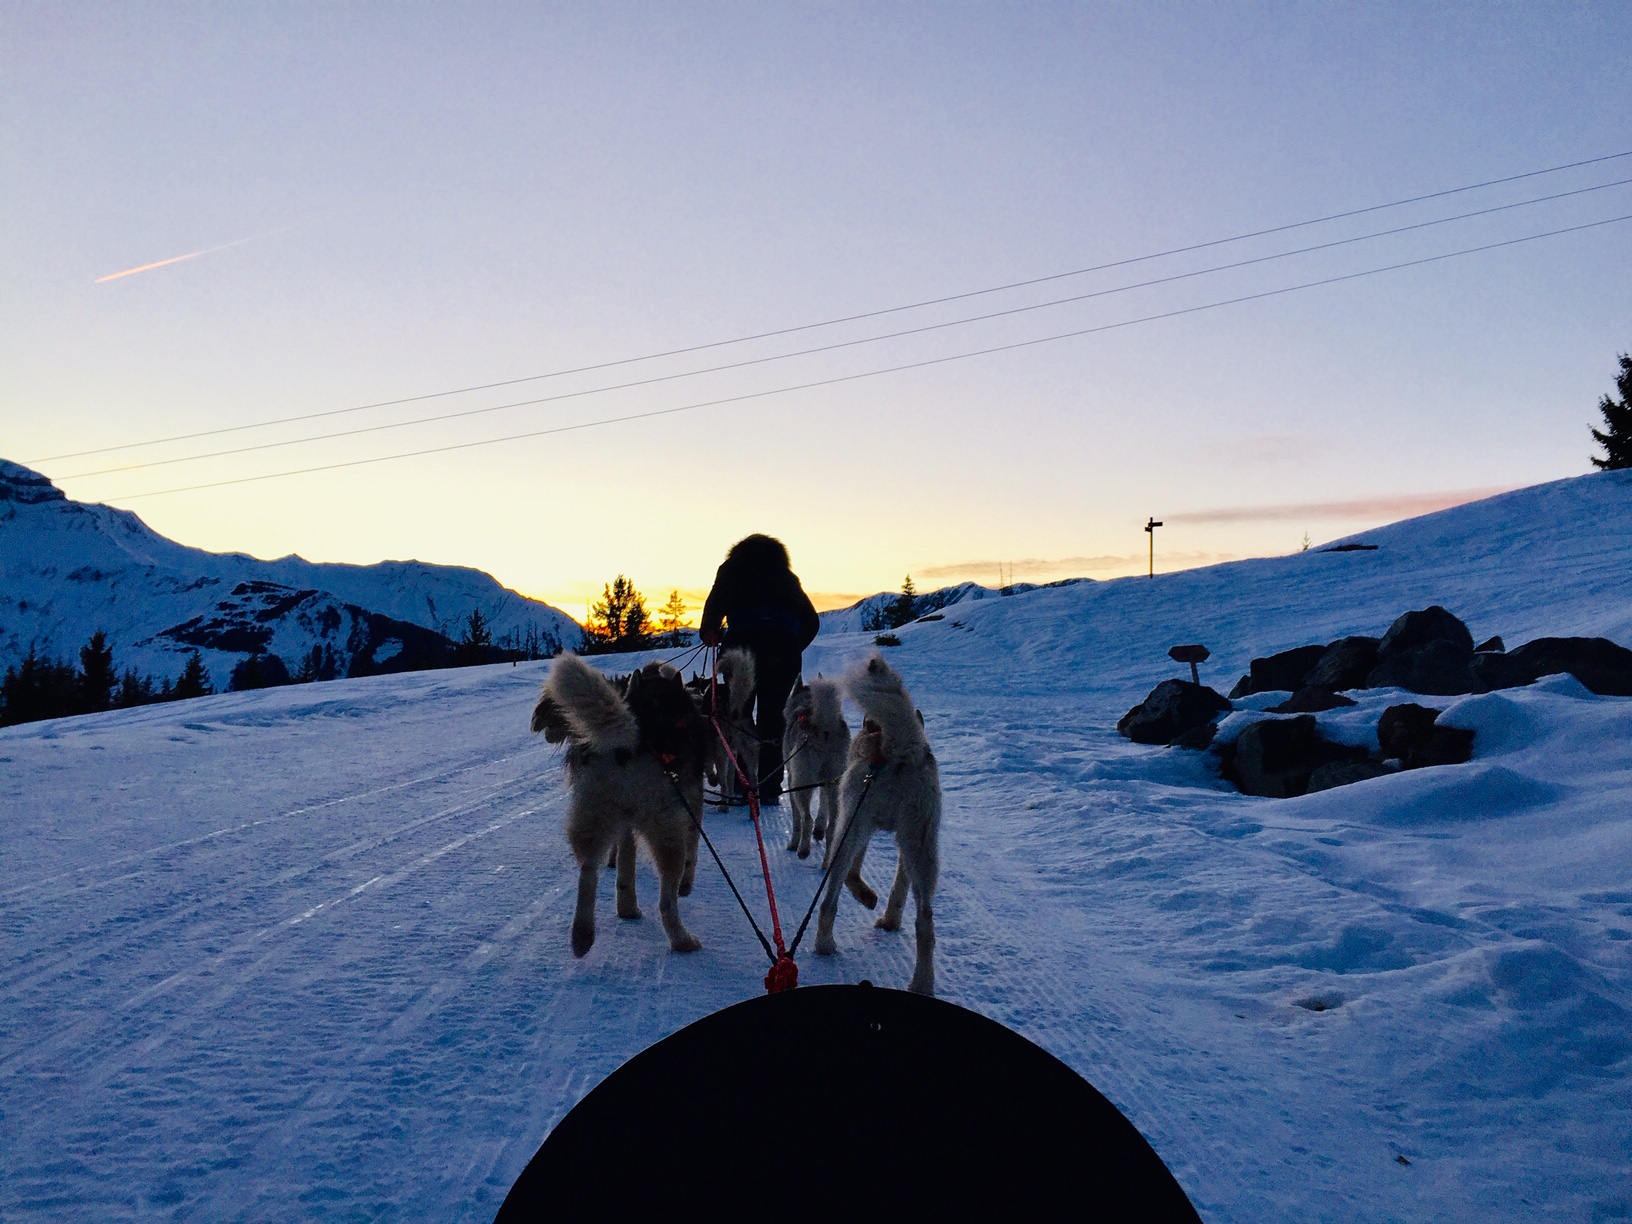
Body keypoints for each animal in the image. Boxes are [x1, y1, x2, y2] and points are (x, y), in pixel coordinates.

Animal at [535, 662, 708, 959]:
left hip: (593, 813)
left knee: (588, 870)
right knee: (666, 900)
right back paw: (682, 939)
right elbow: (692, 855)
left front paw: (627, 906)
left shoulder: (626, 824)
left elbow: (625, 865)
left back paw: (582, 935)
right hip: (666, 829)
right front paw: (686, 886)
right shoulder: (692, 806)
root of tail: (633, 735)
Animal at [780, 682, 848, 861]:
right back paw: (826, 862)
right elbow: (823, 810)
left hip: (801, 785)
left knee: (807, 819)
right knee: (832, 828)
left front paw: (793, 843)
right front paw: (819, 830)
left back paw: (803, 850)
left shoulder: (792, 780)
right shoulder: (826, 782)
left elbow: (797, 819)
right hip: (835, 784)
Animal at [809, 652, 940, 998]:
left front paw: (867, 897)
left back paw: (824, 945)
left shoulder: (859, 827)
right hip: (922, 849)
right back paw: (922, 984)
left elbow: (853, 876)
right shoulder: (902, 847)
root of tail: (900, 749)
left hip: (849, 832)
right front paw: (890, 919)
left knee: (829, 901)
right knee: (925, 923)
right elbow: (899, 889)